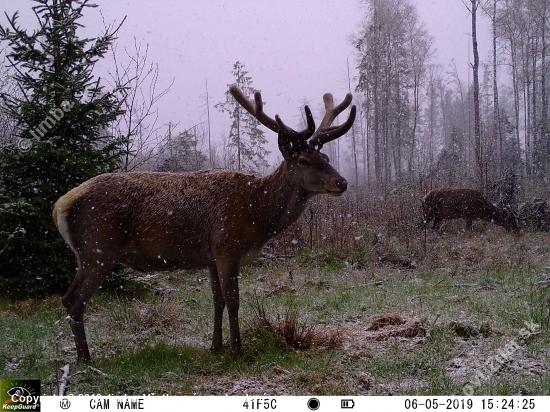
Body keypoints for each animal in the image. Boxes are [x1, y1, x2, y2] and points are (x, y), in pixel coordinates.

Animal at [52, 84, 358, 360]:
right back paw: (85, 359)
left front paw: (216, 345)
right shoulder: (227, 246)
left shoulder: (211, 256)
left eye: (325, 156)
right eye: (304, 160)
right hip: (97, 249)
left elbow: (217, 300)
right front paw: (237, 350)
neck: (258, 215)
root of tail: (60, 205)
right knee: (73, 299)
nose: (341, 182)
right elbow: (233, 300)